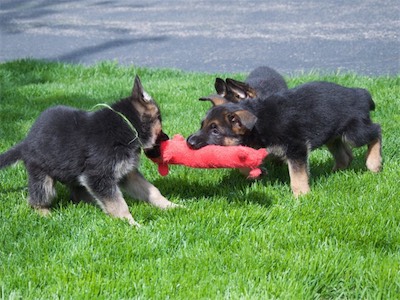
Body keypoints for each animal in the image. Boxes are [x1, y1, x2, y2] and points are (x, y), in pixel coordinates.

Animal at [0, 75, 178, 225]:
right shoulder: (99, 176)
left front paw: (172, 206)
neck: (128, 125)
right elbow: (118, 204)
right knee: (36, 199)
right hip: (42, 177)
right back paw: (45, 214)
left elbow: (152, 190)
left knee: (77, 193)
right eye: (160, 125)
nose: (168, 138)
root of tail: (26, 142)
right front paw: (131, 224)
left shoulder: (127, 173)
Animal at [188, 81, 382, 196]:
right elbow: (243, 165)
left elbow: (297, 175)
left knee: (376, 131)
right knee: (345, 155)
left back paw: (374, 163)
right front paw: (258, 173)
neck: (258, 125)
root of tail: (360, 93)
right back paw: (335, 172)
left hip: (354, 133)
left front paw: (302, 195)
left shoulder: (296, 147)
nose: (189, 142)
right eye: (202, 125)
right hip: (332, 135)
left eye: (215, 130)